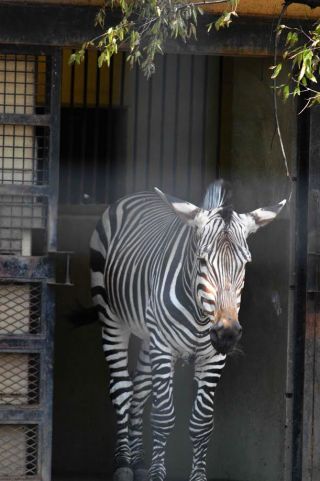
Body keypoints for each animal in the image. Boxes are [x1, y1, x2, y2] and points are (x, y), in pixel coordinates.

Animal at [89, 180, 284, 480]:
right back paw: (123, 463)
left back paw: (138, 461)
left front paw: (197, 476)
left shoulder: (214, 357)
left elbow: (202, 423)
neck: (201, 317)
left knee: (139, 389)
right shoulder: (163, 346)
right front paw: (157, 475)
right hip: (112, 320)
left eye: (245, 264)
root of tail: (139, 193)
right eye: (202, 261)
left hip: (147, 337)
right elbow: (162, 416)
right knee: (121, 388)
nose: (227, 334)